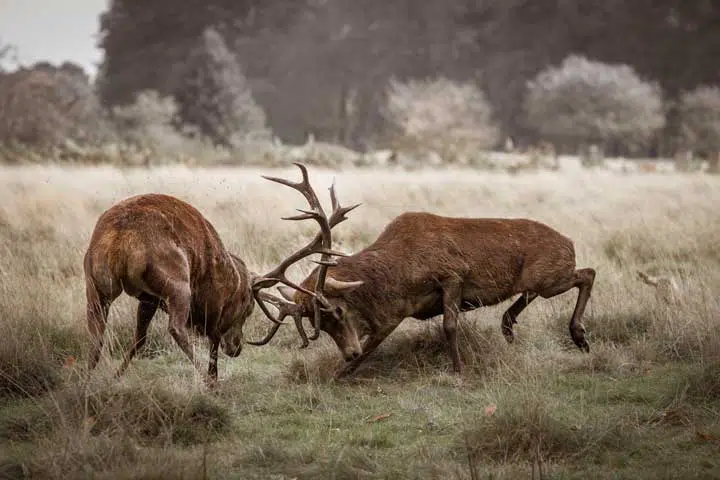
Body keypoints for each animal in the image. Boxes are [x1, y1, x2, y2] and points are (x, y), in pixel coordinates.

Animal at [81, 193, 278, 384]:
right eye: (249, 309)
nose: (236, 348)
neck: (233, 282)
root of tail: (121, 240)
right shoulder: (212, 304)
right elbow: (214, 338)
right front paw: (213, 379)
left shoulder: (148, 298)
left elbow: (140, 337)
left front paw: (115, 377)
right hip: (178, 282)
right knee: (176, 328)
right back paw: (208, 382)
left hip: (95, 282)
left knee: (96, 335)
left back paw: (86, 382)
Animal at [252, 166, 596, 378]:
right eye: (318, 325)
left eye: (337, 310)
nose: (348, 352)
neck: (395, 280)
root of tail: (569, 242)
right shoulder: (393, 314)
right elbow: (370, 348)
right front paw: (340, 372)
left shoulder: (452, 275)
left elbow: (449, 326)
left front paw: (458, 369)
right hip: (537, 280)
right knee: (526, 298)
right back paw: (512, 329)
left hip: (549, 275)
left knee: (588, 272)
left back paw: (579, 336)